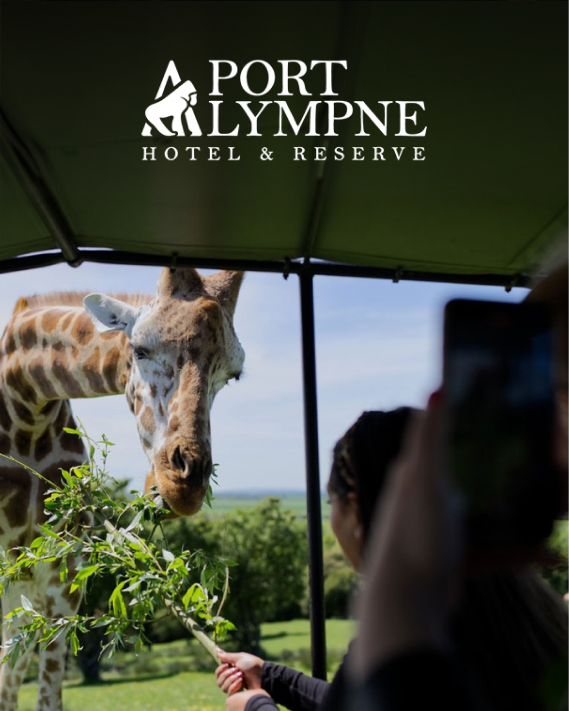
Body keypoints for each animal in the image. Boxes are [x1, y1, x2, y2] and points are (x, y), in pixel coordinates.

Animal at [0, 267, 245, 711]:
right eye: (140, 350)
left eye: (232, 374)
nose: (182, 487)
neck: (25, 401)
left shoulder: (65, 567)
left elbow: (48, 691)